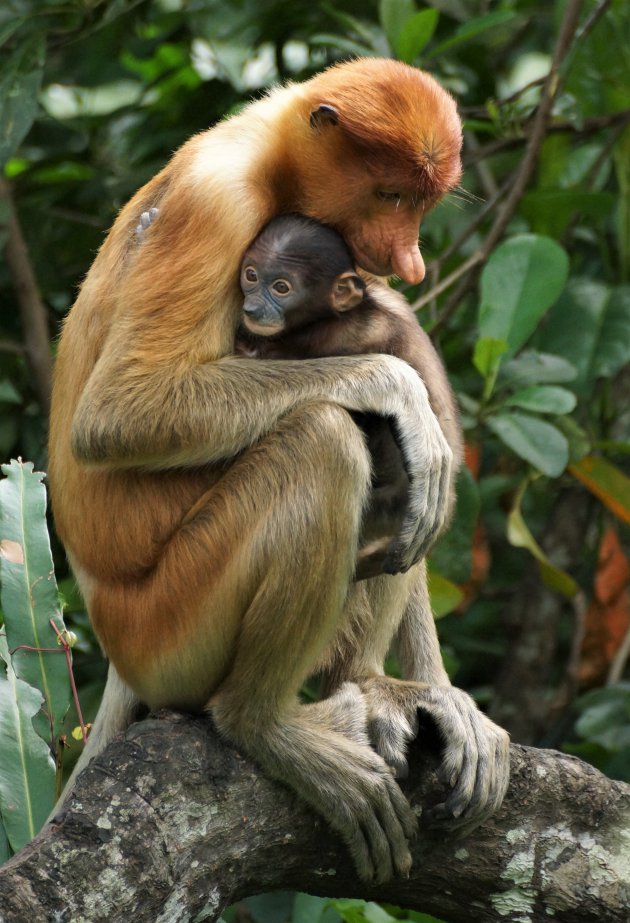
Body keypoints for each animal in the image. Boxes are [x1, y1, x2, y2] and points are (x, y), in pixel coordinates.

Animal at [50, 56, 512, 880]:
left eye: (420, 200)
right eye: (391, 194)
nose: (411, 259)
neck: (269, 156)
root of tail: (120, 654)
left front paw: (448, 699)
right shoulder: (214, 203)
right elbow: (116, 415)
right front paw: (393, 387)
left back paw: (374, 685)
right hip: (171, 629)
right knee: (325, 440)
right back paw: (265, 723)